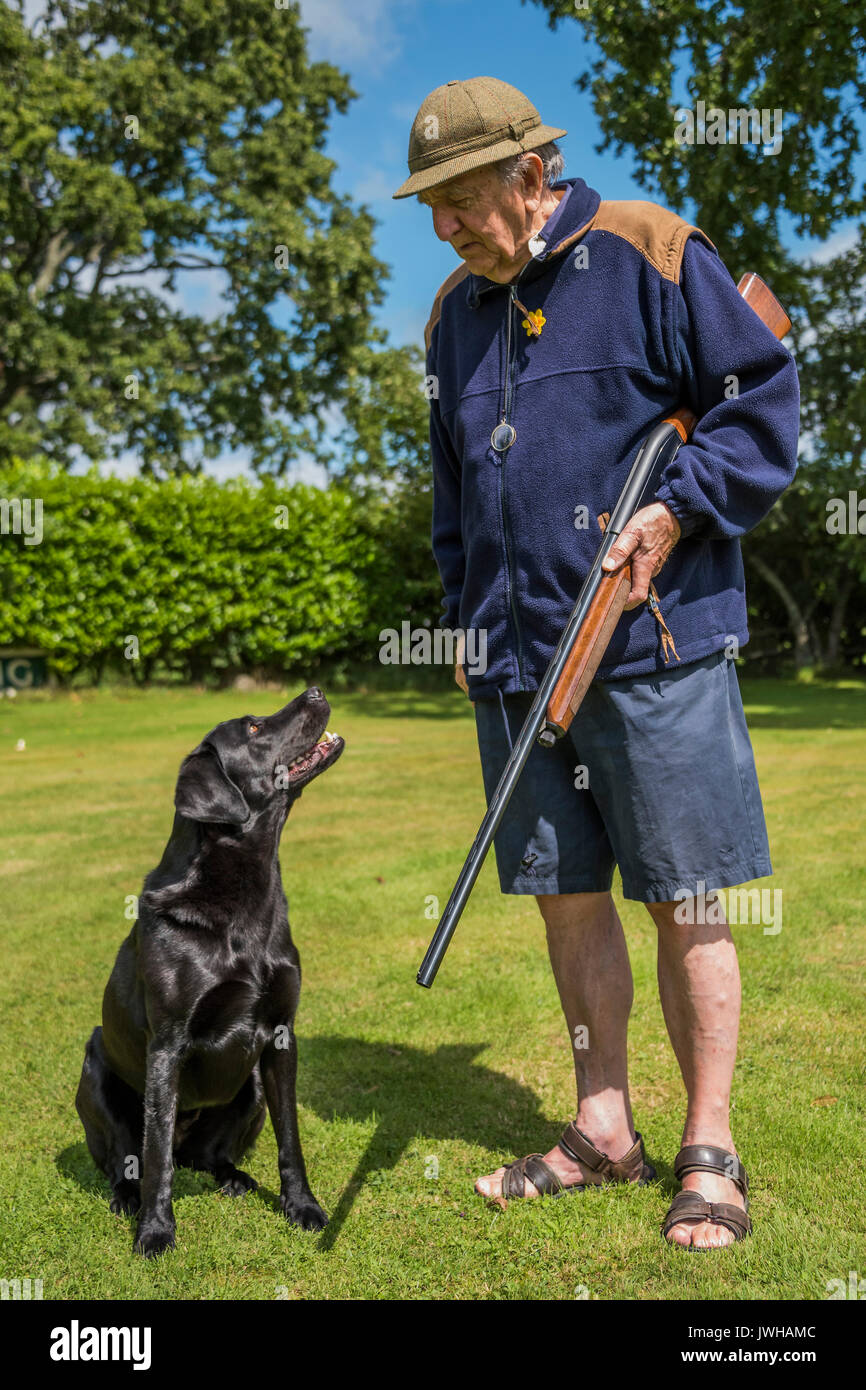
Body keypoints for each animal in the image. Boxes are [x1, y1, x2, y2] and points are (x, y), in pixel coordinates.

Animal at [75, 686, 346, 1262]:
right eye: (252, 728)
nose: (315, 690)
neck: (243, 894)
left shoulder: (282, 1035)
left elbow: (291, 1137)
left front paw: (302, 1207)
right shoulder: (167, 1045)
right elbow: (155, 1157)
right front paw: (156, 1232)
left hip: (251, 1089)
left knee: (206, 1157)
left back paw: (233, 1177)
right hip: (95, 1067)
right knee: (130, 1157)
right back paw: (128, 1198)